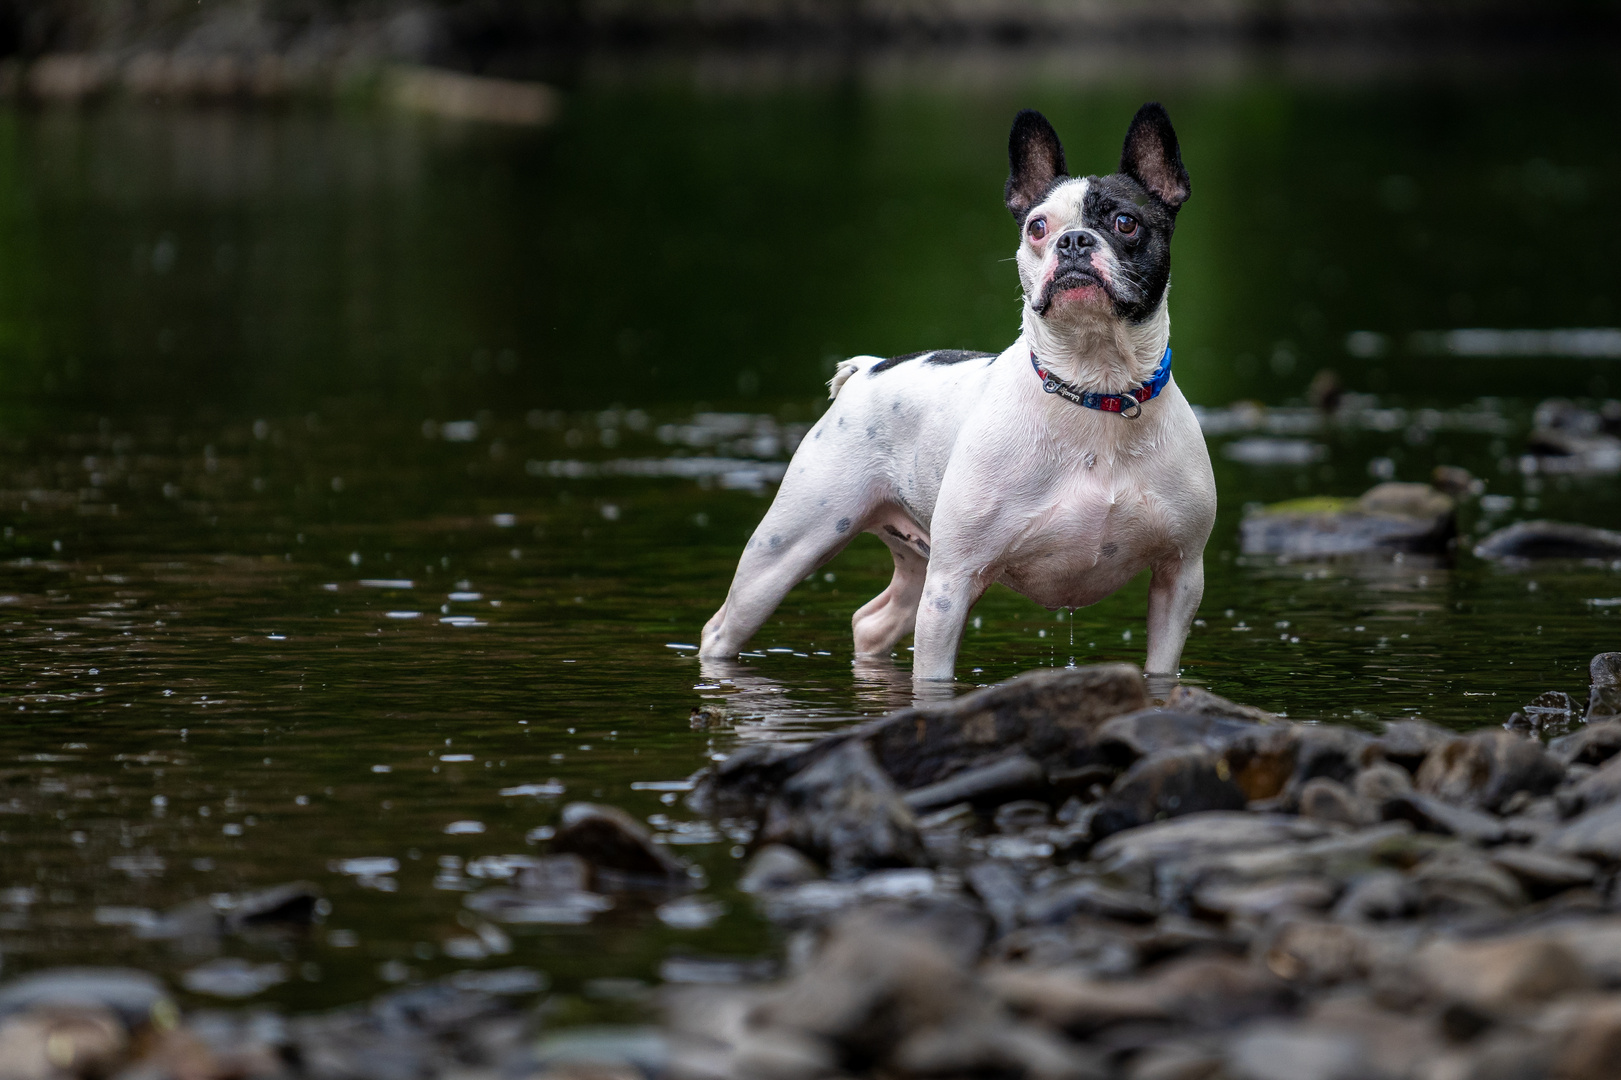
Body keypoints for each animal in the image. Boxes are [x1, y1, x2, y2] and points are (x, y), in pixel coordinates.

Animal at [697, 98, 1218, 674]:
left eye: (1126, 222)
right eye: (1037, 227)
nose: (1074, 240)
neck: (1093, 388)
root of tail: (871, 368)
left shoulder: (1179, 577)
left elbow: (1161, 668)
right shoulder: (952, 584)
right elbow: (934, 677)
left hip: (913, 566)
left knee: (872, 622)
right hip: (788, 547)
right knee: (724, 627)